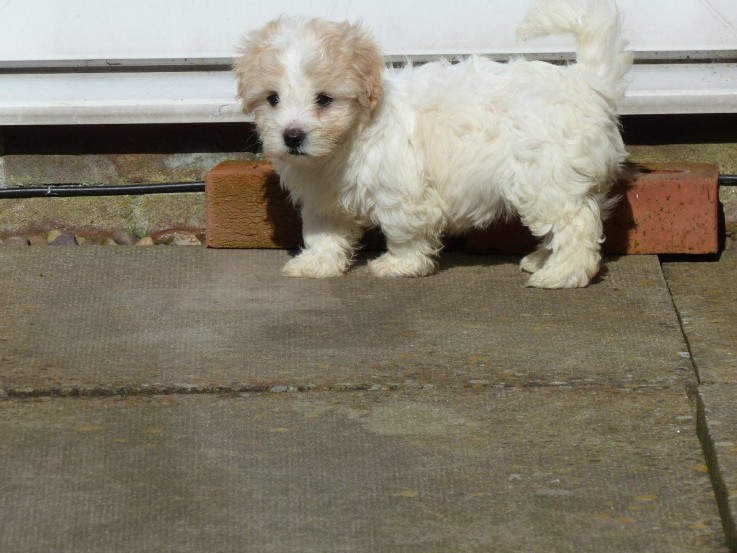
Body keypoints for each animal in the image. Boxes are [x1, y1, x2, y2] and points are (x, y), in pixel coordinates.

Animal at [233, 0, 628, 286]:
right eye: (272, 99)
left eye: (324, 99)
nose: (292, 135)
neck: (348, 140)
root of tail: (585, 81)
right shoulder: (322, 198)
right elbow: (324, 232)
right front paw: (316, 264)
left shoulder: (402, 191)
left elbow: (404, 231)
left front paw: (399, 265)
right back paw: (542, 260)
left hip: (547, 175)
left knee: (575, 224)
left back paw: (563, 274)